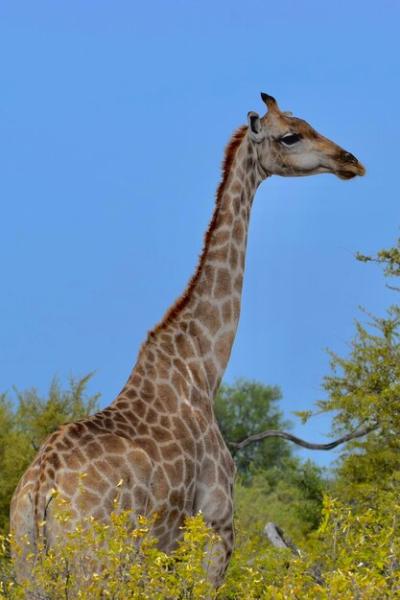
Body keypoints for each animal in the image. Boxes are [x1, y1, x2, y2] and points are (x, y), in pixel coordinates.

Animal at [10, 92, 366, 584]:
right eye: (290, 135)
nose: (350, 160)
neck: (204, 366)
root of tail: (40, 488)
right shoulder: (217, 526)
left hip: (28, 563)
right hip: (96, 563)